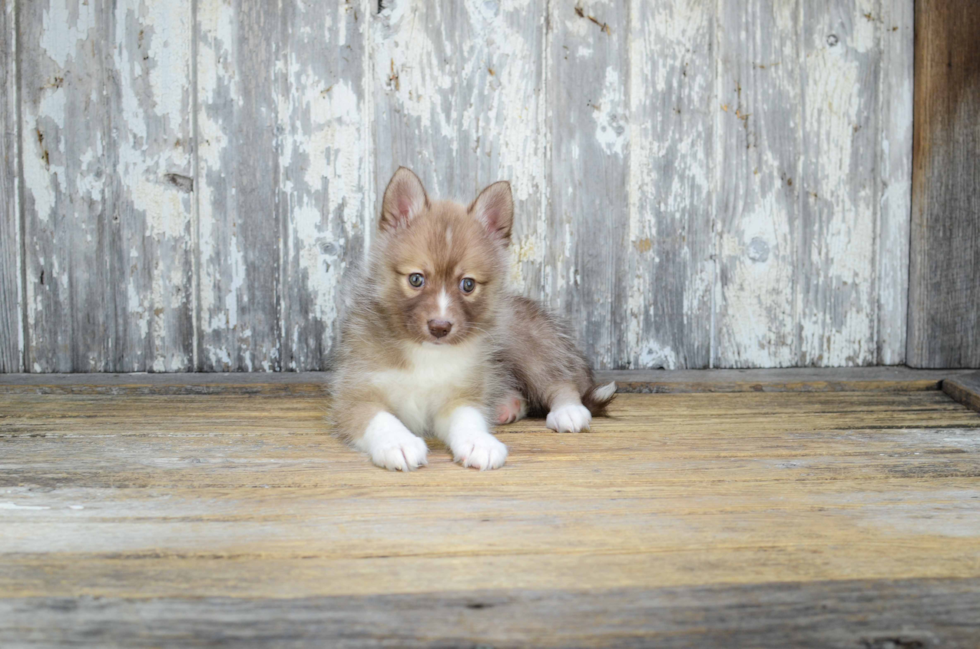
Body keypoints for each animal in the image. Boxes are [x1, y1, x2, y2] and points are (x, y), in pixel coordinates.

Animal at [334, 167, 616, 470]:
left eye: (467, 284)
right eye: (416, 279)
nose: (440, 327)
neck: (426, 354)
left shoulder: (461, 394)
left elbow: (468, 418)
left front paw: (479, 443)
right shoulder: (355, 393)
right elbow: (381, 419)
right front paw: (398, 443)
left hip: (527, 343)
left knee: (559, 379)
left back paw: (569, 410)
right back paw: (507, 405)